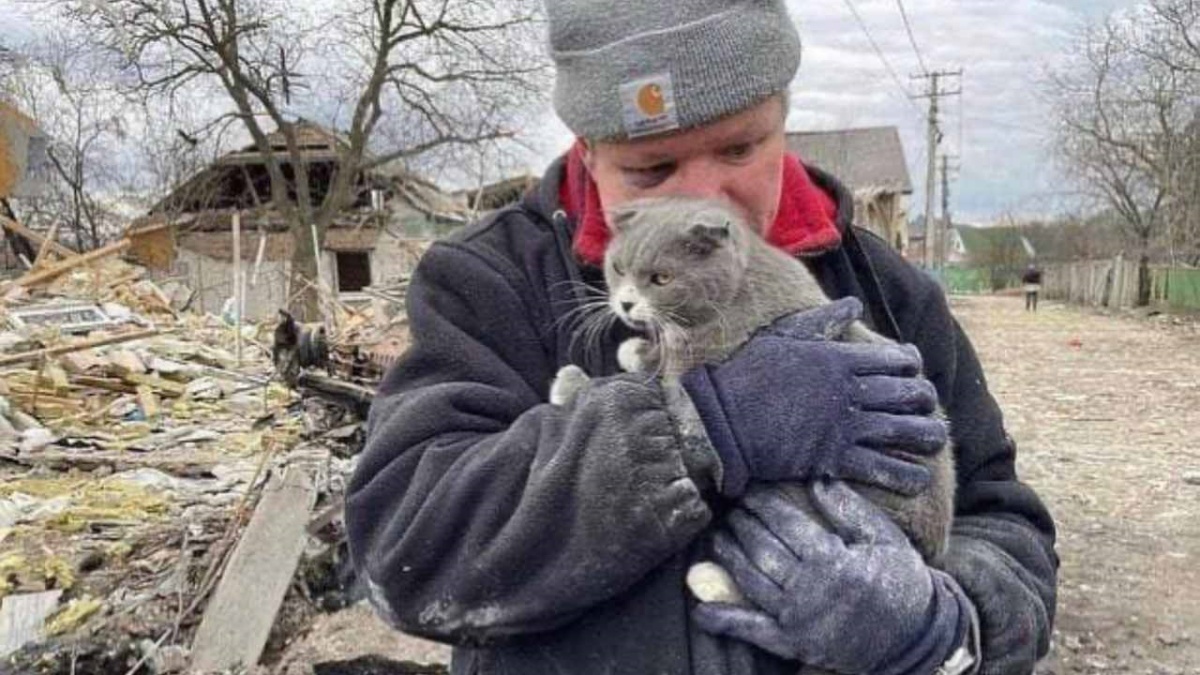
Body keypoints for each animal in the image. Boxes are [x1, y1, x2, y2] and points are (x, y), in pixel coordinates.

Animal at [552, 194, 955, 605]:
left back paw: (712, 581)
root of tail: (931, 544)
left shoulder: (703, 363)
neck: (735, 290)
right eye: (618, 268)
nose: (626, 304)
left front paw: (573, 381)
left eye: (661, 278)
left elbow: (662, 391)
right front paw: (635, 350)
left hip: (818, 493)